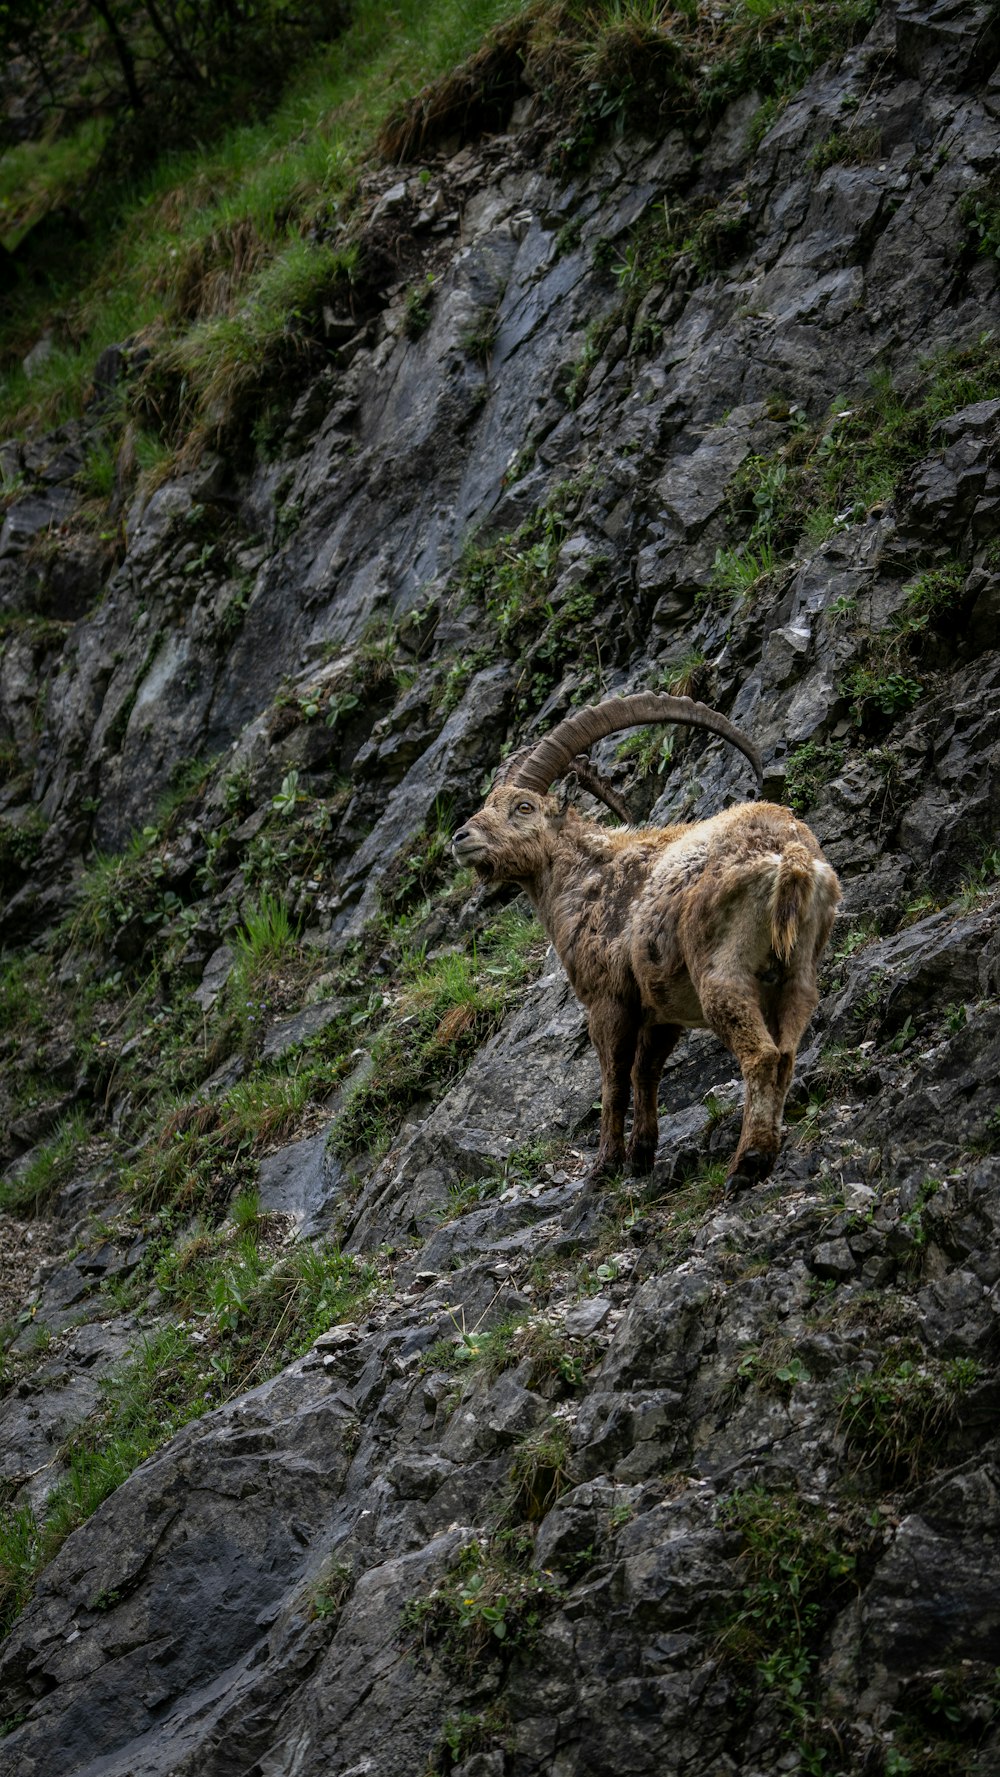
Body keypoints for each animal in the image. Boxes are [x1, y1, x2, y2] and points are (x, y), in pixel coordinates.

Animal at [454, 693, 845, 1194]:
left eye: (523, 806)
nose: (461, 837)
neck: (589, 878)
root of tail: (791, 856)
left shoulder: (608, 1001)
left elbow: (615, 1080)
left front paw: (603, 1166)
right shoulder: (661, 1010)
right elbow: (647, 1073)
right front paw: (640, 1156)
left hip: (722, 973)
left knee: (761, 1055)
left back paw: (747, 1162)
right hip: (797, 975)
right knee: (787, 1054)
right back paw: (764, 1151)